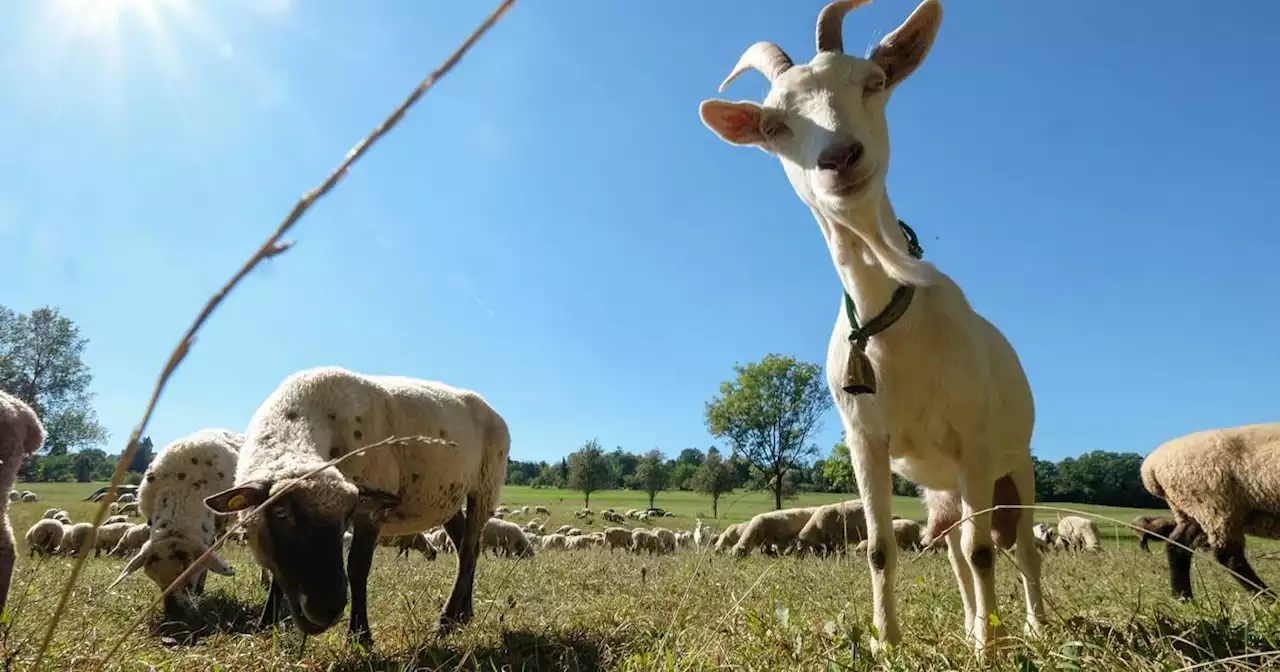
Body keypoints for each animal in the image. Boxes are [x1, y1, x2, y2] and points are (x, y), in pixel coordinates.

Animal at [199, 366, 509, 645]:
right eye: (280, 512)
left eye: (346, 515)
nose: (326, 609)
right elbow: (277, 574)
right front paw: (266, 624)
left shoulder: (370, 512)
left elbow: (358, 569)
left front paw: (361, 636)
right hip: (448, 498)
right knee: (467, 548)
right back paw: (463, 614)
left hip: (485, 486)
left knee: (468, 550)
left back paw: (446, 621)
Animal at [696, 0, 1044, 650]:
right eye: (774, 126)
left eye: (874, 82)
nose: (838, 158)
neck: (891, 321)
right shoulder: (866, 441)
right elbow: (882, 549)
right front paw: (888, 642)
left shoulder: (976, 438)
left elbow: (985, 552)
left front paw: (989, 647)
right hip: (943, 488)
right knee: (954, 550)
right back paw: (969, 623)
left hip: (1016, 465)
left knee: (1020, 549)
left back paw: (1030, 626)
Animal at [1141, 424, 1280, 596]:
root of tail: (1150, 468)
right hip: (1215, 507)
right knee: (1229, 557)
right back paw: (1266, 596)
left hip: (1191, 510)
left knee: (1178, 546)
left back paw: (1182, 597)